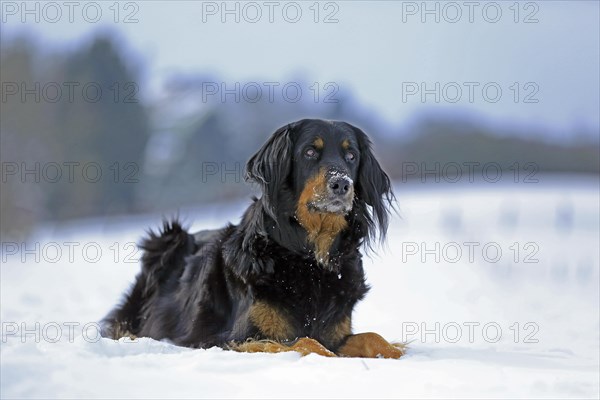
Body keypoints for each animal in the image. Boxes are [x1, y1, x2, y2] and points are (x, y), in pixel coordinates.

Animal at [102, 117, 404, 358]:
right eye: (309, 152)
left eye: (351, 156)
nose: (342, 184)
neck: (308, 258)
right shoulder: (236, 337)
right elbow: (306, 342)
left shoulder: (337, 331)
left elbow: (372, 337)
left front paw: (395, 352)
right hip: (168, 239)